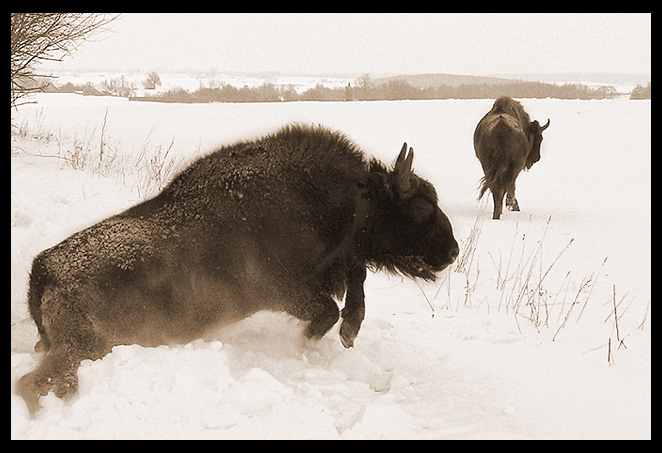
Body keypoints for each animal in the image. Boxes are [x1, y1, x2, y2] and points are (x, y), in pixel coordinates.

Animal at [16, 122, 462, 412]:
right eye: (421, 208)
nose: (453, 251)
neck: (350, 199)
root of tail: (45, 269)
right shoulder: (284, 292)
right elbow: (327, 310)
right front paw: (308, 343)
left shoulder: (336, 267)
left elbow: (356, 277)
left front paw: (349, 332)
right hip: (84, 349)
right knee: (32, 385)